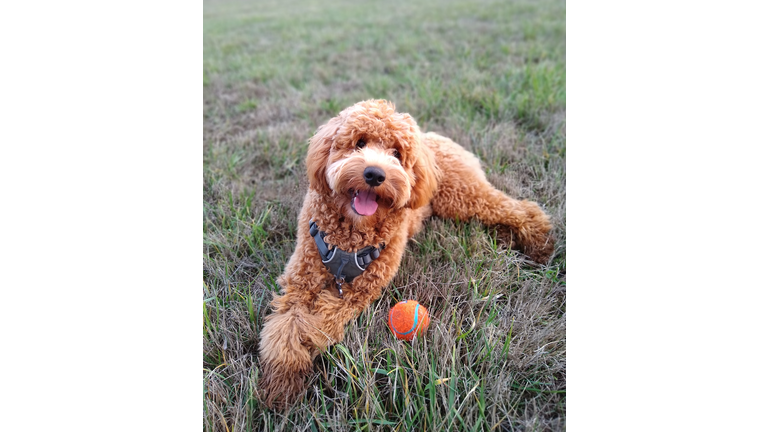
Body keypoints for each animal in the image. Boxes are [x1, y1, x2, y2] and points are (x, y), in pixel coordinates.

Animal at [258, 99, 552, 410]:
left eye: (397, 154)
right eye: (359, 142)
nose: (374, 174)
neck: (350, 238)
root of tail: (436, 138)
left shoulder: (355, 293)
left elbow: (317, 324)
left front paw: (294, 365)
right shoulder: (301, 281)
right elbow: (286, 328)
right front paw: (282, 381)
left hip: (463, 196)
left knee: (517, 208)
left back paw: (540, 242)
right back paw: (508, 237)